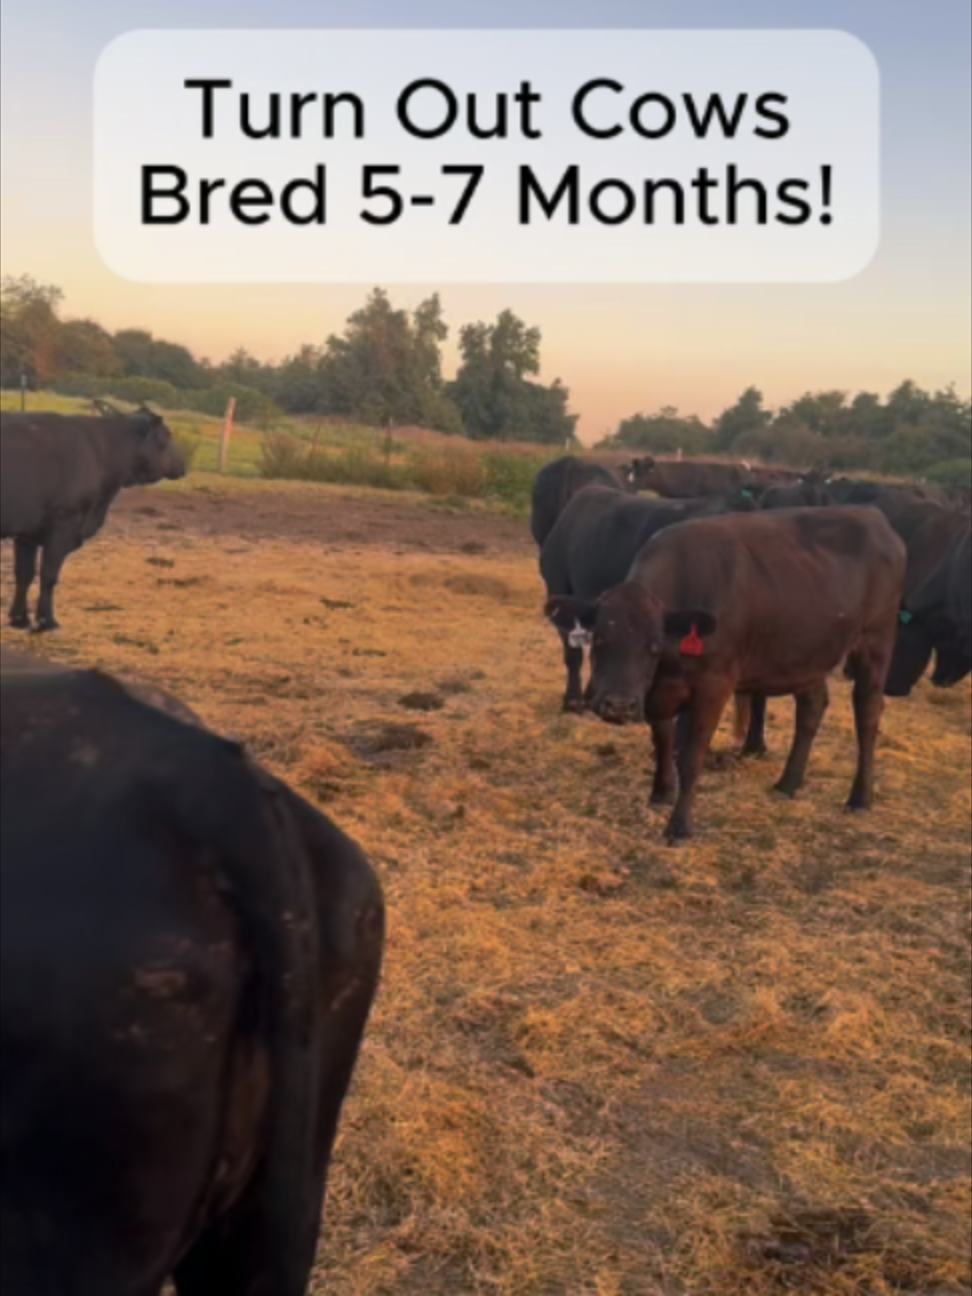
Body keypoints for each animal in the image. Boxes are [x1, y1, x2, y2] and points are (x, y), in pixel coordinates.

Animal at [0, 408, 186, 632]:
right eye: (165, 438)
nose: (182, 465)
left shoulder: (27, 534)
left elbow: (24, 574)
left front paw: (19, 619)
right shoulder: (64, 523)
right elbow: (48, 575)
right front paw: (47, 621)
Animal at [546, 508, 906, 843]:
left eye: (654, 645)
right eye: (599, 639)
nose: (618, 705)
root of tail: (873, 515)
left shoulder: (714, 687)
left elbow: (690, 756)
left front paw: (680, 826)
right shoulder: (657, 692)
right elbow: (662, 740)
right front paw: (661, 793)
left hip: (876, 640)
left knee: (868, 713)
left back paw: (859, 798)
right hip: (809, 654)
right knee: (812, 707)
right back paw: (788, 783)